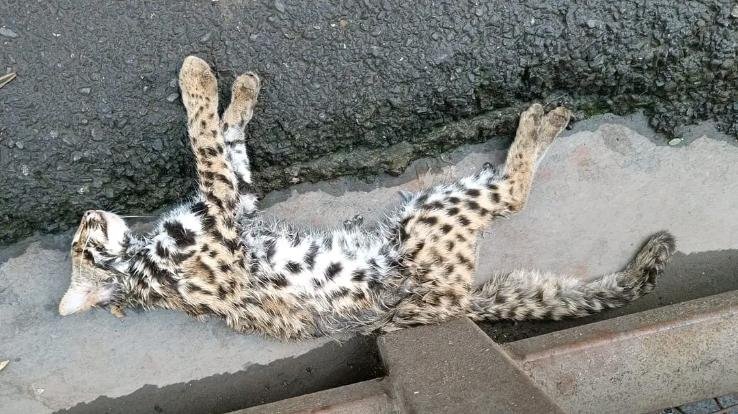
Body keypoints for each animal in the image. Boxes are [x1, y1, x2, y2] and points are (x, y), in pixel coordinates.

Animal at [58, 56, 676, 340]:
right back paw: (541, 120)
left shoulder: (235, 205)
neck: (136, 267)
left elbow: (229, 146)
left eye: (79, 235)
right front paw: (197, 81)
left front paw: (241, 92)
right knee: (513, 193)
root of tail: (459, 305)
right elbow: (204, 140)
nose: (88, 211)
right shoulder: (219, 211)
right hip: (429, 215)